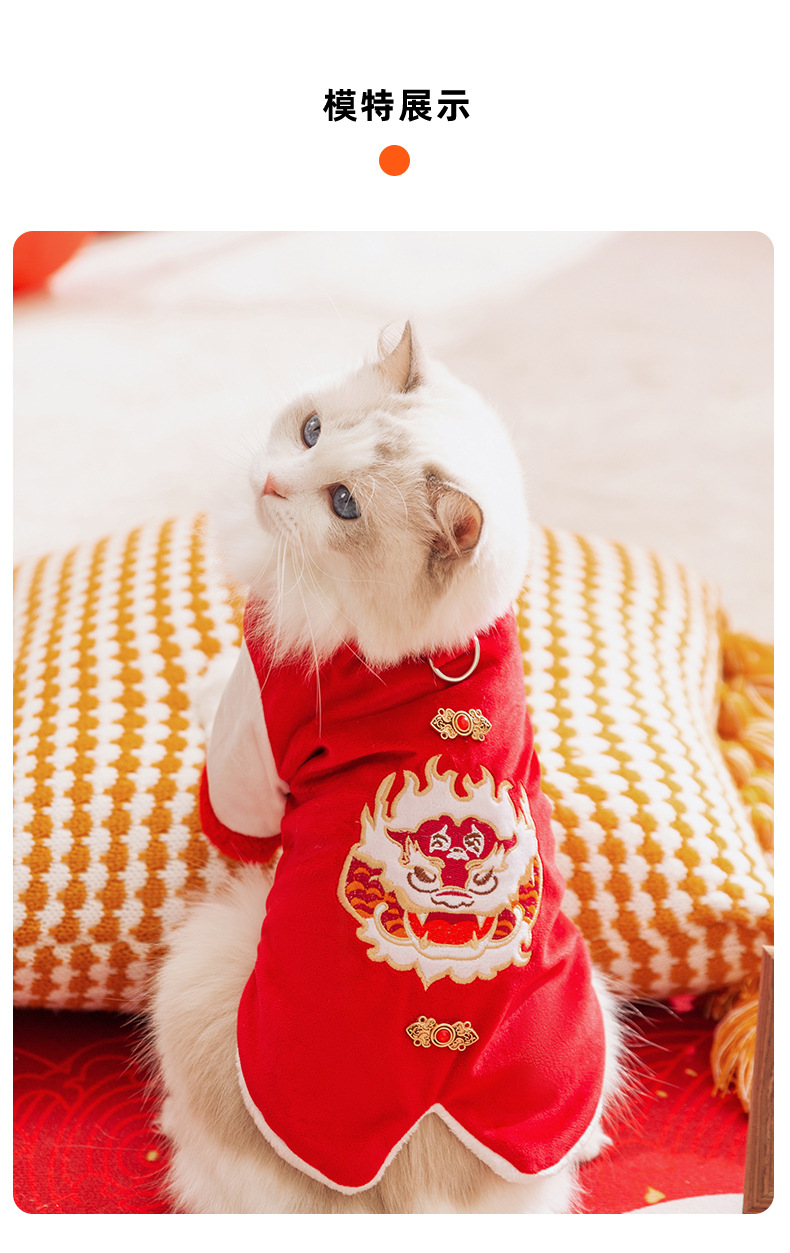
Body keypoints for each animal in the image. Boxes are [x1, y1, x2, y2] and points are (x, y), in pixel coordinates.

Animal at [149, 323, 627, 1214]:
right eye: (310, 431)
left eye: (344, 505)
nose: (271, 480)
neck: (424, 651)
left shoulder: (251, 740)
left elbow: (222, 736)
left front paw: (199, 679)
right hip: (598, 1017)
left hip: (201, 953)